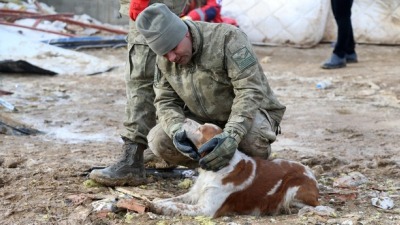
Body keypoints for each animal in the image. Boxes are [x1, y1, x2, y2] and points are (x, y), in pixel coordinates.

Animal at [148, 118, 320, 217]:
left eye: (201, 129)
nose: (183, 119)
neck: (215, 169)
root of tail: (310, 173)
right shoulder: (194, 194)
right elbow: (174, 199)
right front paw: (157, 201)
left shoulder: (206, 208)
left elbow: (177, 205)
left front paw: (157, 207)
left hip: (293, 189)